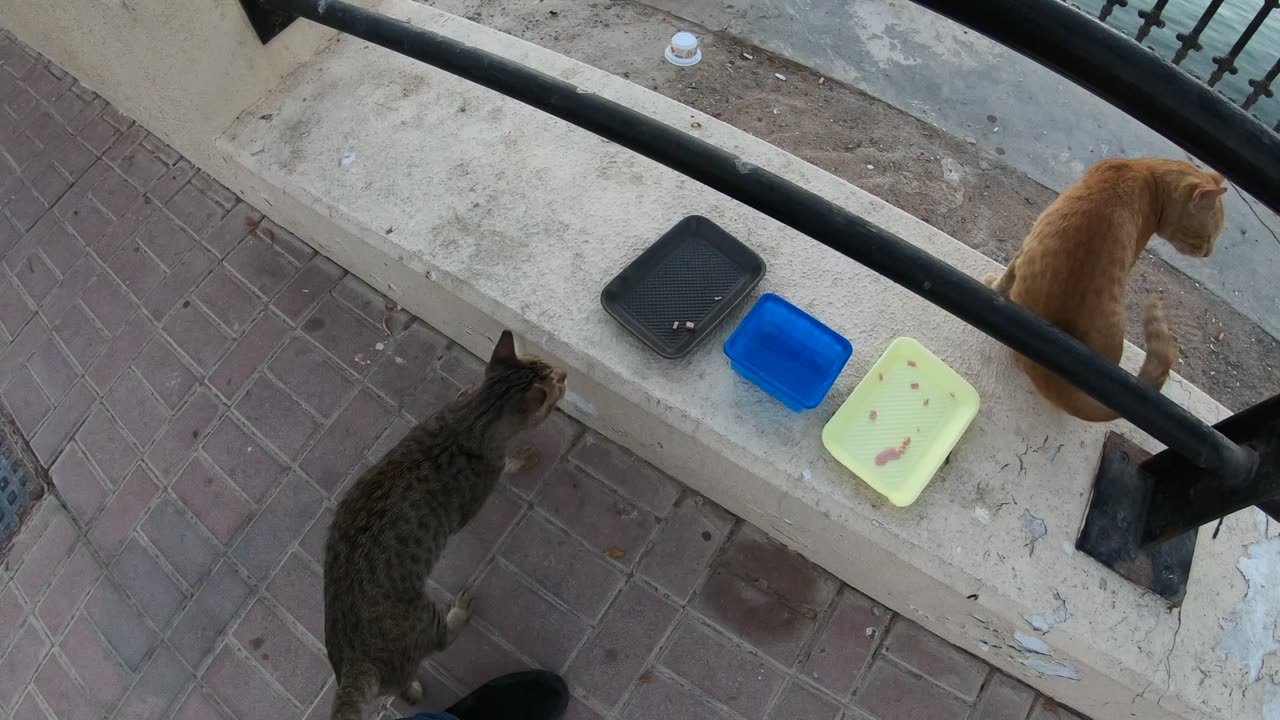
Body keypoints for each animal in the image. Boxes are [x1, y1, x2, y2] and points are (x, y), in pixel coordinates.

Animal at [325, 330, 570, 717]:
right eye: (555, 383)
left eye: (545, 363)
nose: (565, 373)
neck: (473, 418)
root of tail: (355, 663)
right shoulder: (480, 490)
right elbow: (506, 465)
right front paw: (522, 458)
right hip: (424, 615)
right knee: (441, 640)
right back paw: (459, 613)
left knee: (400, 688)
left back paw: (410, 689)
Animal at [983, 154, 1223, 417]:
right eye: (1206, 239)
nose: (1208, 254)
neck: (1147, 172)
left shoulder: (1027, 245)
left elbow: (1006, 277)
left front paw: (993, 284)